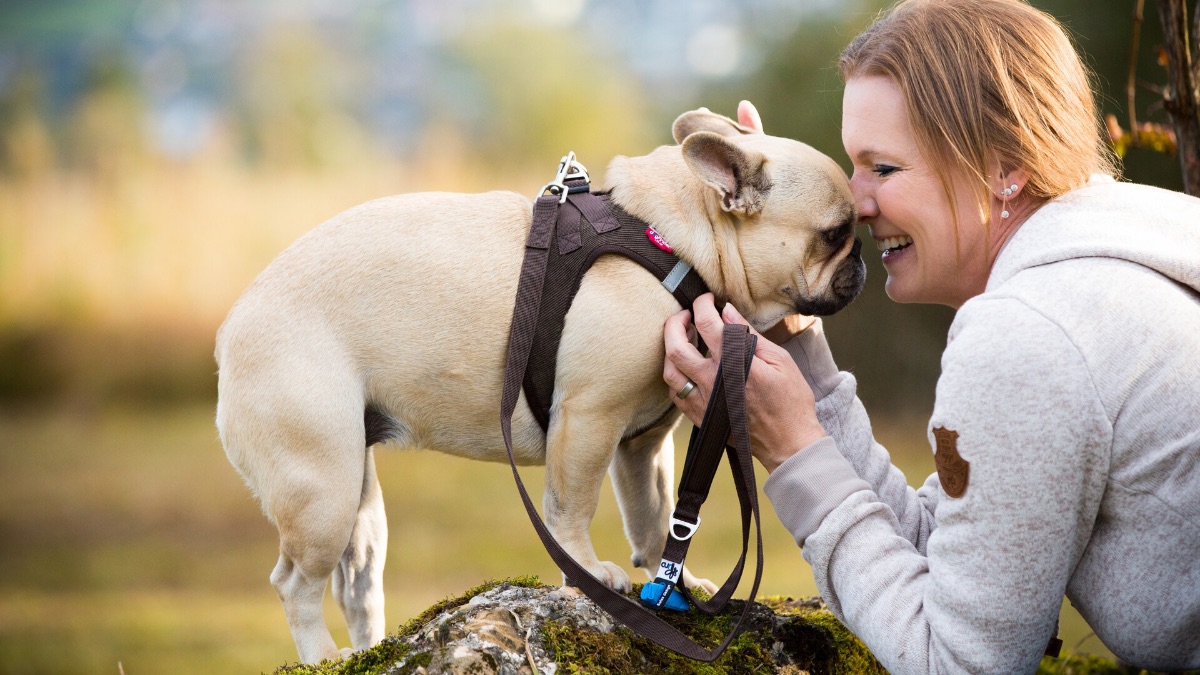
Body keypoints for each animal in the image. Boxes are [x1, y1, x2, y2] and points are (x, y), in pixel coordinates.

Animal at [216, 106, 864, 662]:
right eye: (835, 233)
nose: (861, 263)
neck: (678, 240)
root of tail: (232, 327)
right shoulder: (589, 417)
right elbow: (572, 504)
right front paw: (587, 573)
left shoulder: (642, 444)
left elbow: (659, 517)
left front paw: (673, 585)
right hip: (319, 486)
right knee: (294, 583)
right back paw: (321, 656)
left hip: (356, 497)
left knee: (357, 581)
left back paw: (367, 650)